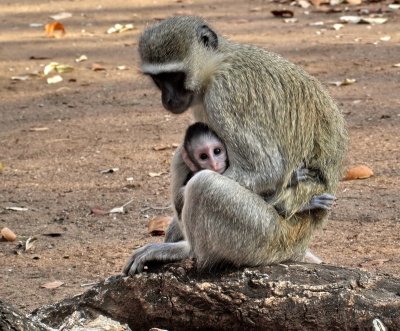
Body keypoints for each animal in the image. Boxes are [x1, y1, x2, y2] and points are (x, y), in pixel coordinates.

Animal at [122, 16, 346, 274]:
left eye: (175, 77)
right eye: (158, 79)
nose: (167, 99)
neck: (218, 65)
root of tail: (299, 244)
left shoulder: (224, 95)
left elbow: (267, 169)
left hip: (265, 236)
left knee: (204, 185)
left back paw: (186, 250)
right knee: (182, 156)